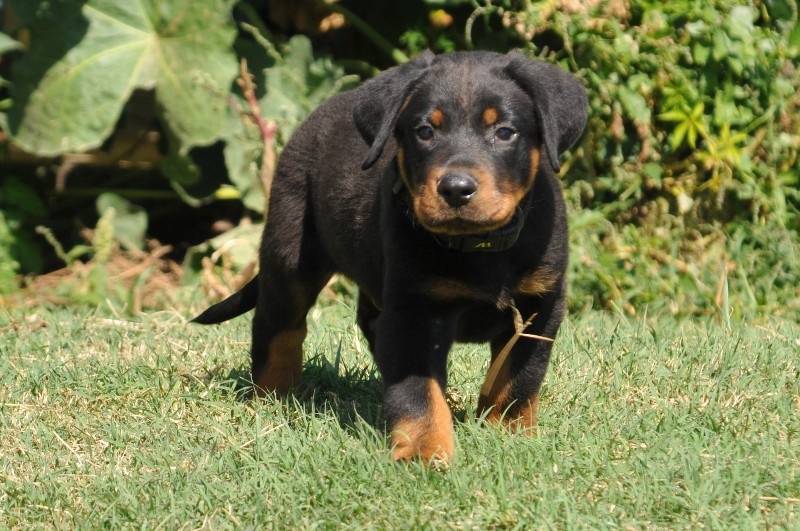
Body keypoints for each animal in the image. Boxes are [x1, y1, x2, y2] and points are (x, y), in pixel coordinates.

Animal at [193, 50, 587, 463]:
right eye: (425, 131)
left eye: (505, 132)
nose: (456, 189)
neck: (477, 245)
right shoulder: (414, 311)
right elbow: (419, 390)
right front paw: (424, 451)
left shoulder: (540, 305)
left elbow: (518, 377)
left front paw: (508, 433)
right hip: (291, 253)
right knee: (279, 324)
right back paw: (272, 395)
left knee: (369, 322)